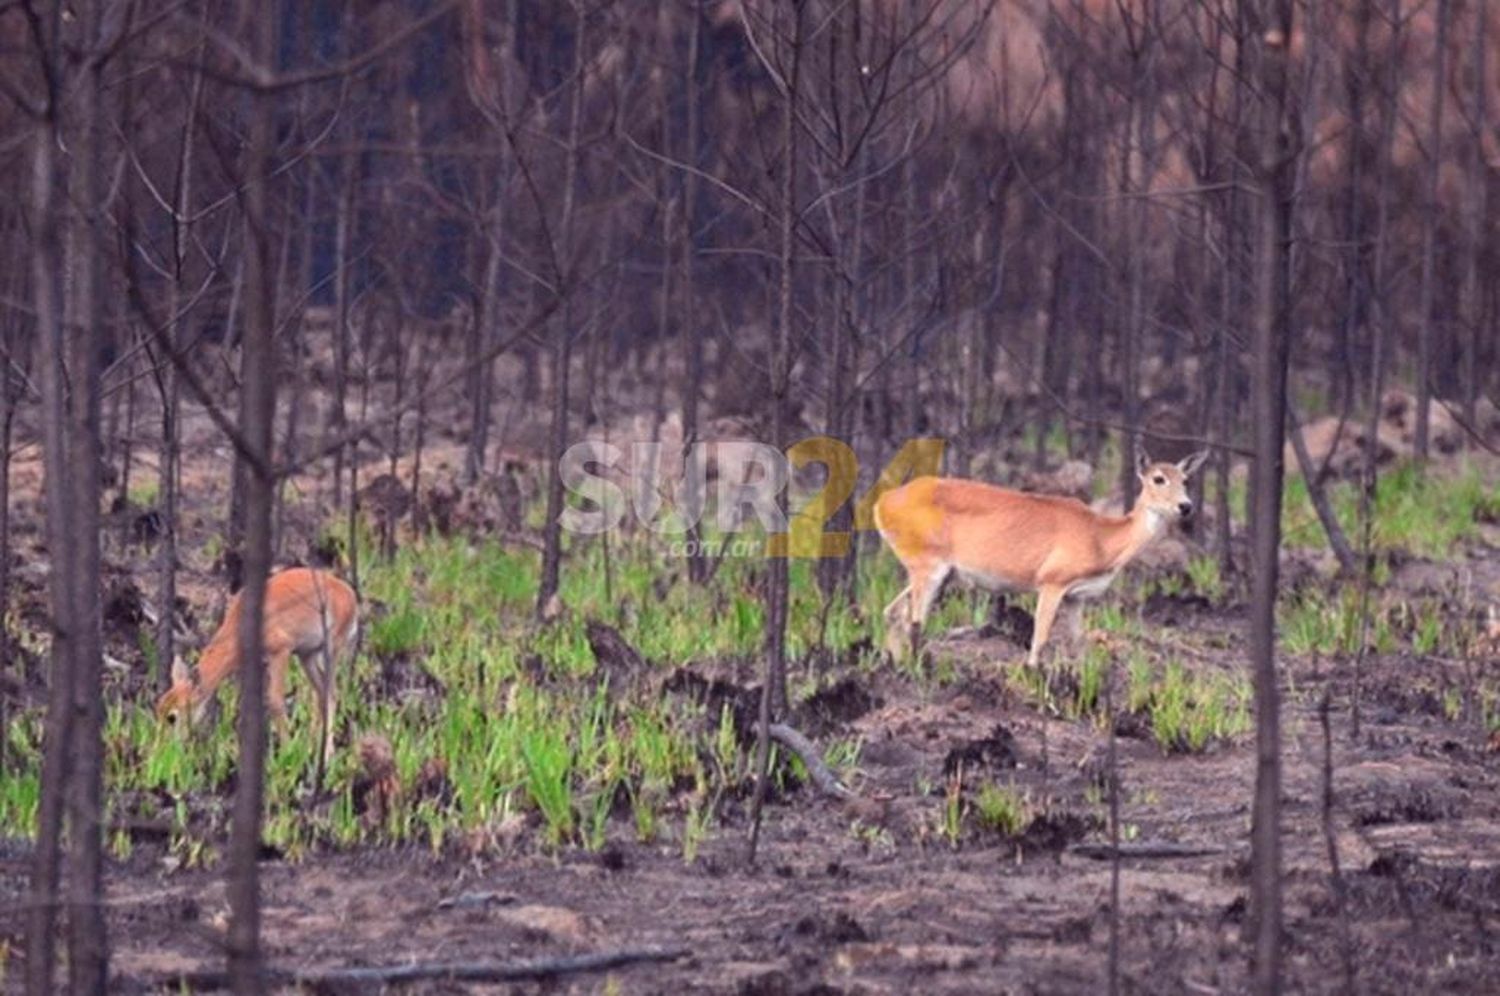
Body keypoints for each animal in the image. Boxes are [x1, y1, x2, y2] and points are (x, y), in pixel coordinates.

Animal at [156, 567, 358, 762]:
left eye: (172, 717)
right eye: (158, 708)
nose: (162, 750)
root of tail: (351, 595)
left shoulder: (281, 651)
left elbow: (276, 701)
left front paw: (286, 752)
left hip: (332, 648)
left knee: (332, 693)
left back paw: (327, 754)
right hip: (307, 655)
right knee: (321, 694)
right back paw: (312, 747)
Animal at [876, 450, 1206, 669]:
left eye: (1186, 479)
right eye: (1158, 479)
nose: (1186, 506)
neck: (1101, 538)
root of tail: (882, 504)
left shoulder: (1077, 596)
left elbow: (1078, 644)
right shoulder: (1052, 580)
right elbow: (1040, 640)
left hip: (938, 571)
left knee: (893, 611)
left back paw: (893, 664)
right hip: (928, 563)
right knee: (915, 620)